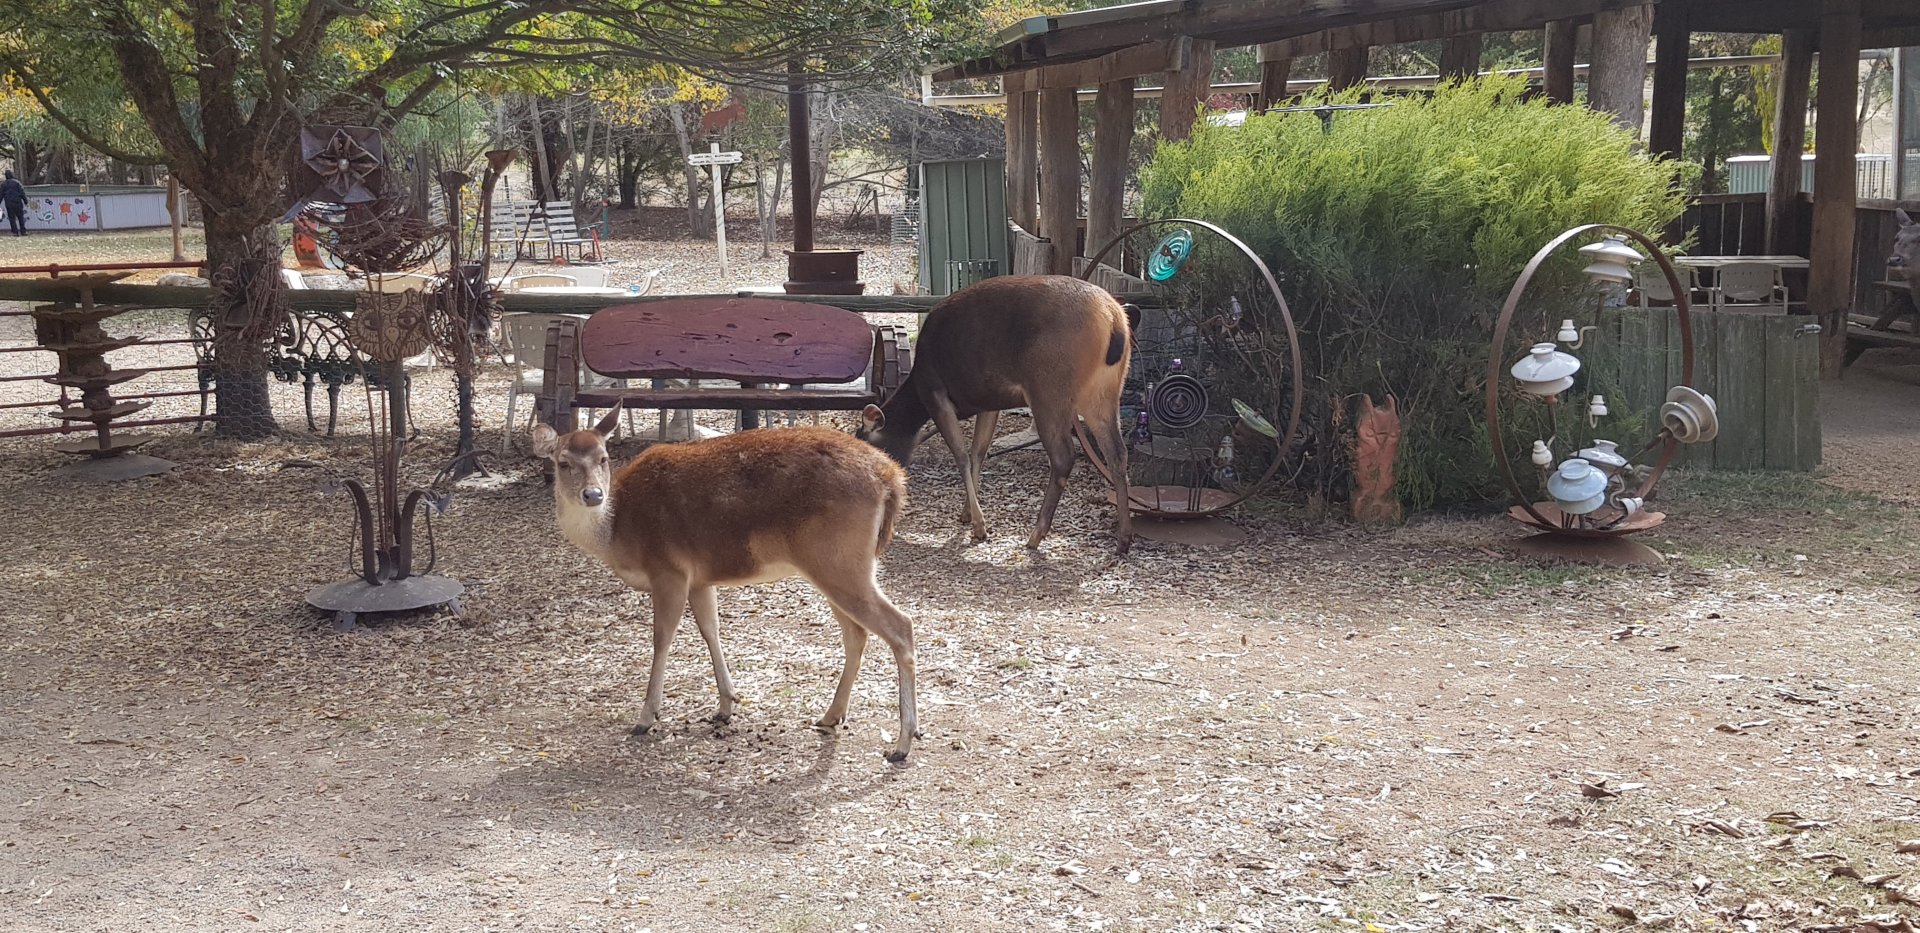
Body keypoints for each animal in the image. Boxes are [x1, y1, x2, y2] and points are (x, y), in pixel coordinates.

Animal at [529, 409, 922, 762]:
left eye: (604, 458)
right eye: (563, 462)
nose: (593, 494)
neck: (618, 535)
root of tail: (891, 478)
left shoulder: (668, 568)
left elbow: (662, 637)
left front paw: (645, 718)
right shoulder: (699, 579)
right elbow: (710, 629)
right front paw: (726, 704)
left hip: (839, 561)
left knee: (900, 625)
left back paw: (902, 743)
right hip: (839, 567)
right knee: (857, 634)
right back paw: (831, 716)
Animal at [855, 275, 1132, 553]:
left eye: (867, 442)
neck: (917, 385)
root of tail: (1113, 319)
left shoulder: (936, 393)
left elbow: (961, 455)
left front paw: (980, 527)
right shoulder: (987, 402)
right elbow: (978, 452)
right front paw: (967, 513)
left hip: (1049, 389)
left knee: (1064, 456)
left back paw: (1036, 535)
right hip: (1104, 392)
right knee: (1117, 453)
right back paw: (1123, 538)